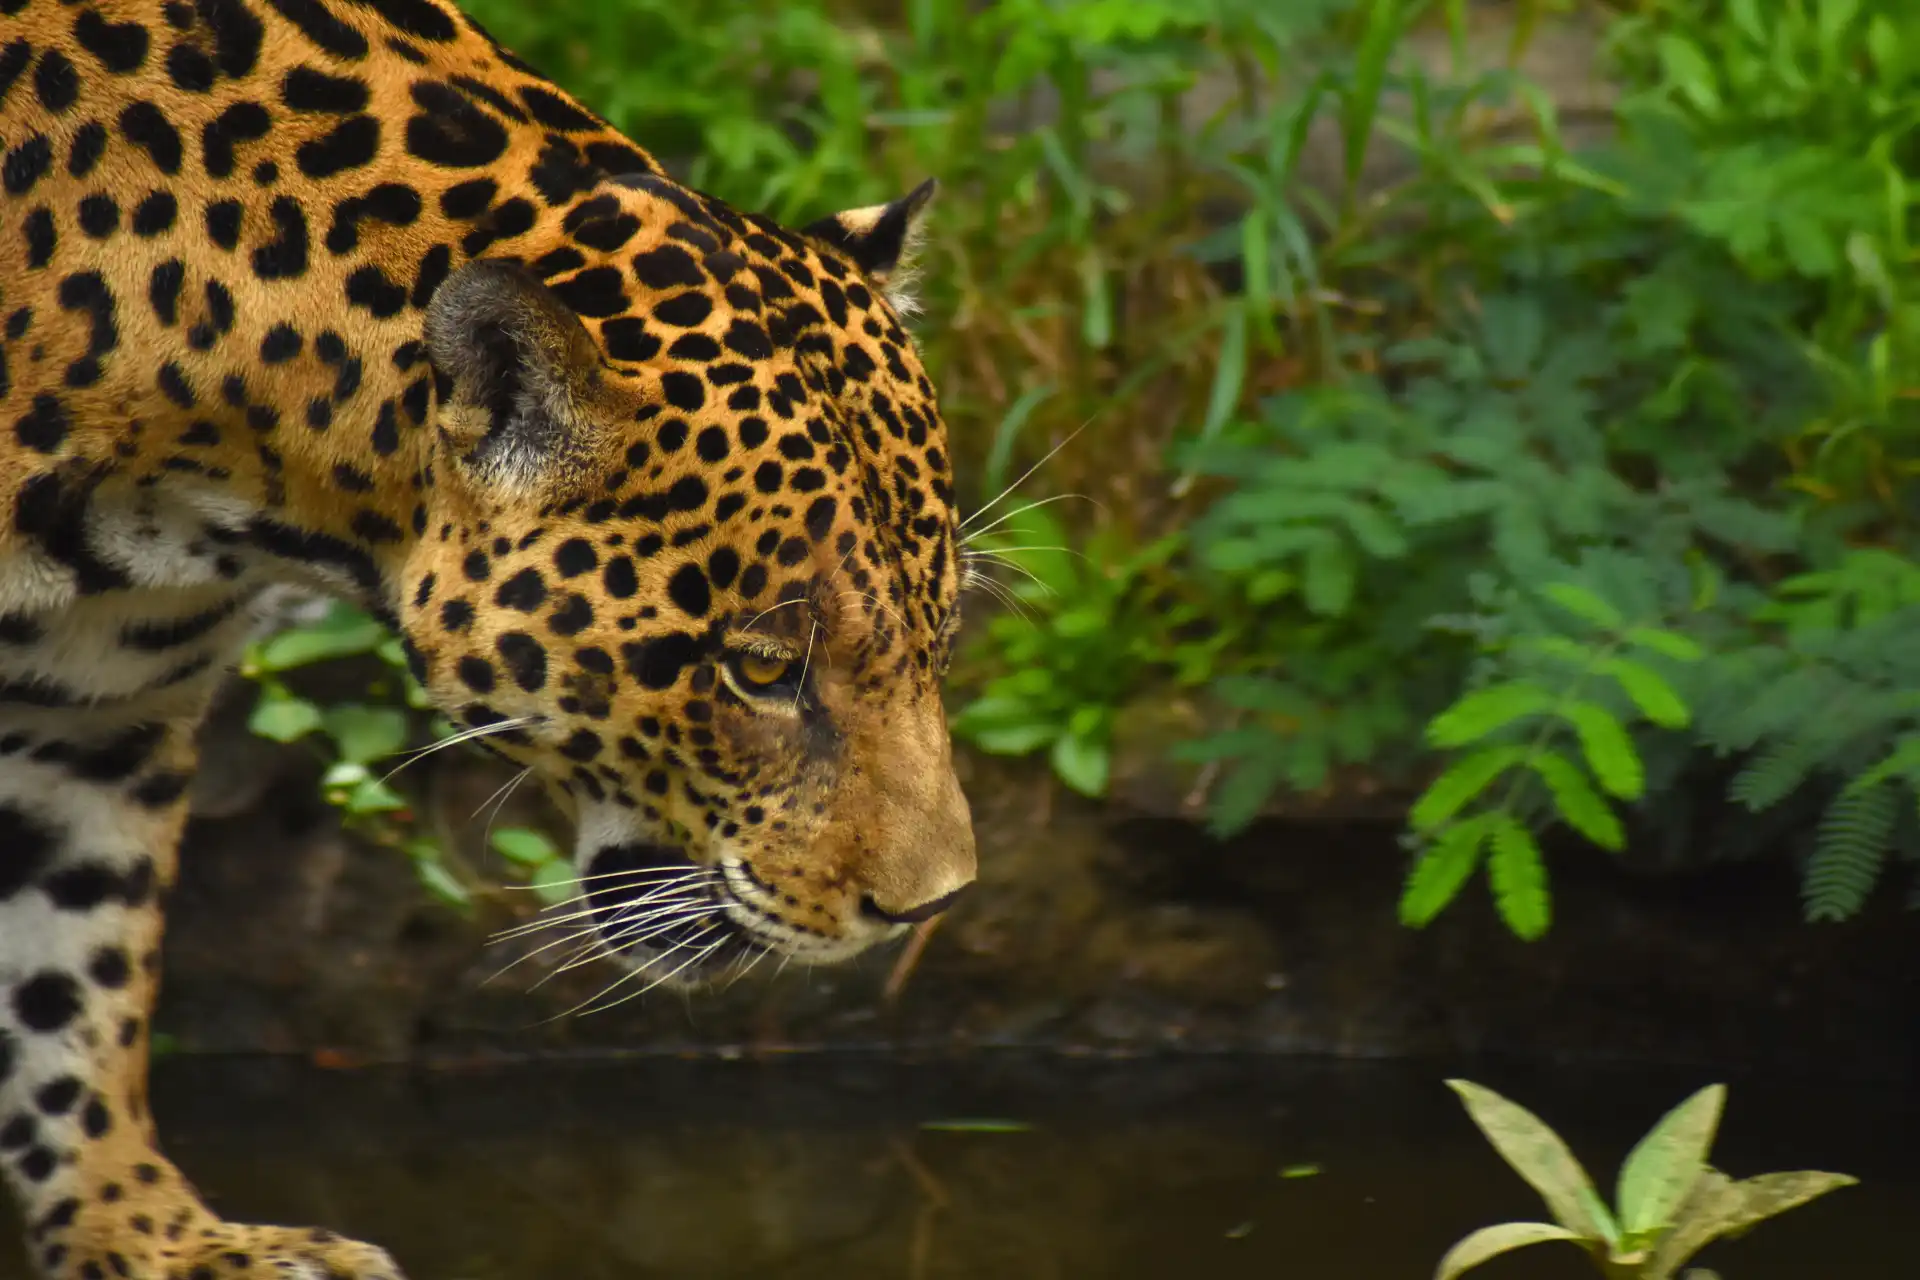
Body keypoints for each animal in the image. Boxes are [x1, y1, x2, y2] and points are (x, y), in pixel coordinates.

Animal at [0, 0, 981, 1274]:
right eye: (762, 670)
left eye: (942, 631)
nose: (932, 908)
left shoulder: (100, 714)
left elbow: (80, 963)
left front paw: (152, 1232)